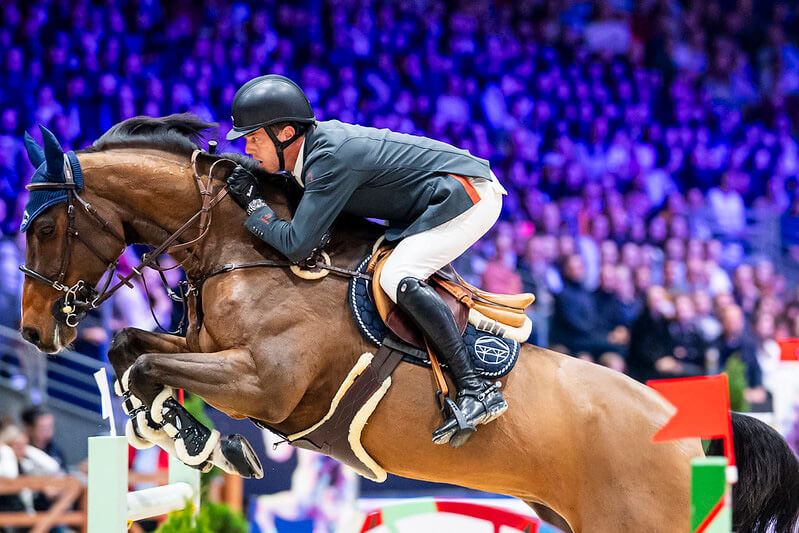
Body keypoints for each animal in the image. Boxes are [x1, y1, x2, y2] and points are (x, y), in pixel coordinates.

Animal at [19, 115, 799, 533]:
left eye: (48, 226)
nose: (32, 333)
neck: (247, 248)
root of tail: (694, 431)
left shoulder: (264, 383)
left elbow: (151, 363)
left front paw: (199, 439)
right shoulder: (207, 349)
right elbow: (131, 349)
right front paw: (179, 431)